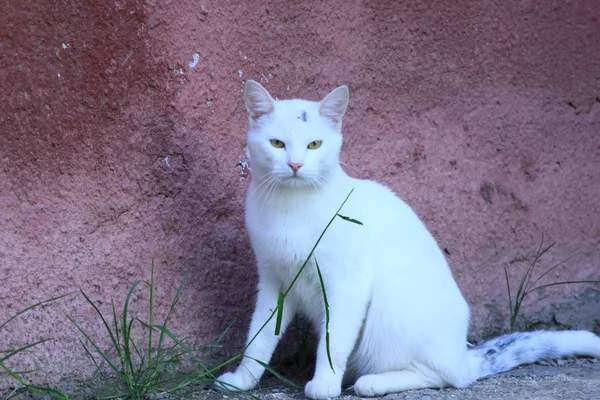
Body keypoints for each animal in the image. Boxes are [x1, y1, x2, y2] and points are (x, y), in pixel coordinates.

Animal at [213, 79, 596, 398]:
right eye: (277, 143)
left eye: (314, 144)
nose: (294, 165)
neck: (290, 208)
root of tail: (463, 354)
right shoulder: (273, 281)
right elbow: (259, 337)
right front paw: (243, 380)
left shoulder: (347, 285)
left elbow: (334, 341)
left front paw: (325, 383)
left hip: (391, 297)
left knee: (445, 377)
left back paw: (373, 382)